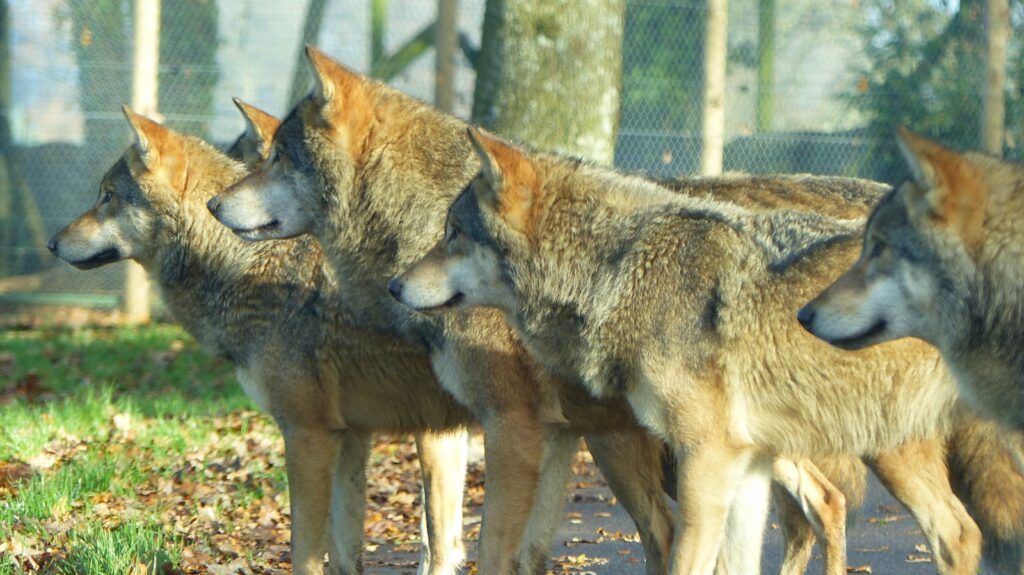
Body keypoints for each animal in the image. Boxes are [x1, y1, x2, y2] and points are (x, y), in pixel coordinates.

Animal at [47, 106, 476, 575]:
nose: (51, 243)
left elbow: (308, 552)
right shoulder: (352, 437)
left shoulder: (309, 435)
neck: (247, 264)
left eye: (107, 196)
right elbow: (346, 552)